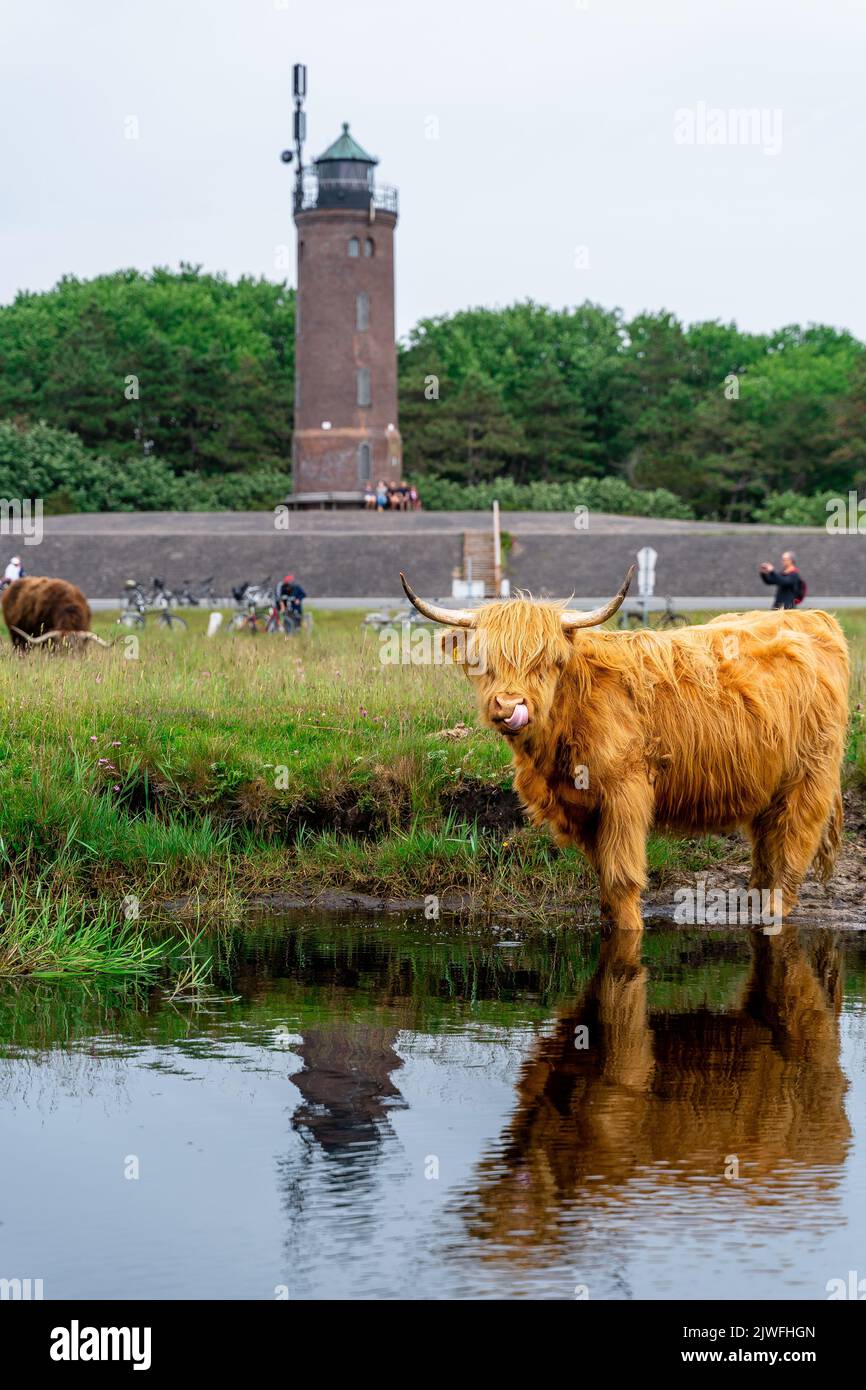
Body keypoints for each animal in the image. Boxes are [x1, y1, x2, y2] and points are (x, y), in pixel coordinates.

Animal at [400, 569, 850, 931]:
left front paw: (630, 931)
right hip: (768, 787)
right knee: (766, 851)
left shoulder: (625, 792)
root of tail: (811, 617)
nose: (510, 705)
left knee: (792, 851)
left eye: (545, 662)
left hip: (810, 777)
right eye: (482, 661)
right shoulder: (580, 807)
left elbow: (621, 877)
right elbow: (603, 877)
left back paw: (773, 915)